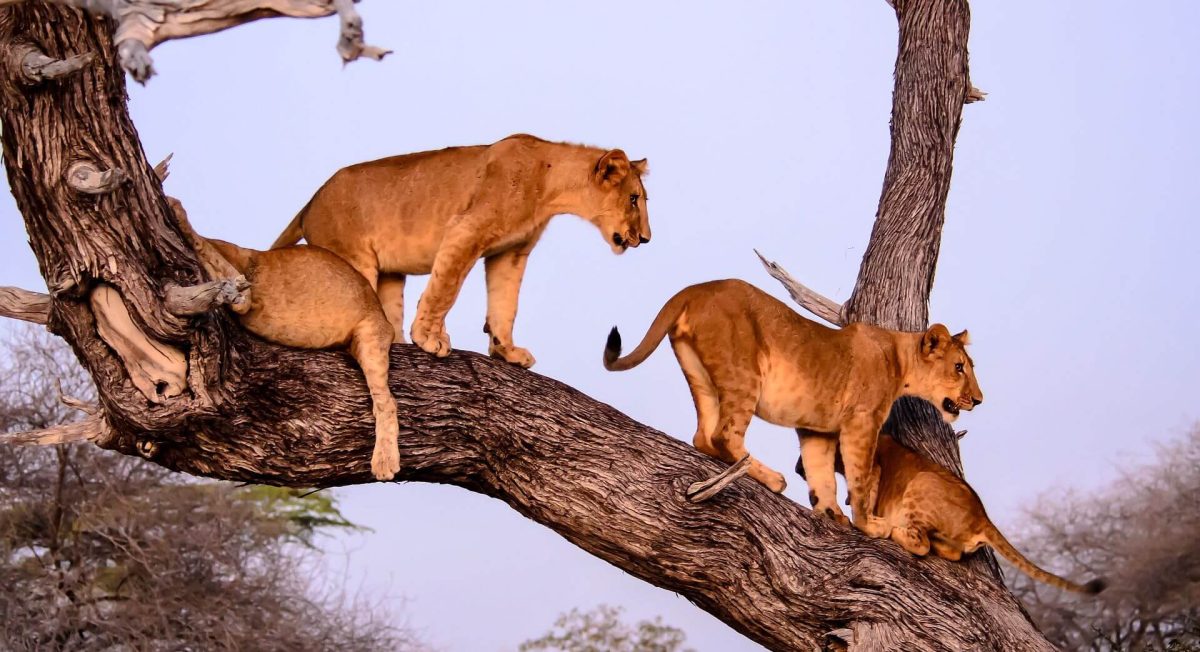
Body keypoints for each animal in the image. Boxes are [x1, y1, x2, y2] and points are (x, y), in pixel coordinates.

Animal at [166, 198, 401, 482]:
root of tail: (381, 312)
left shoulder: (244, 283)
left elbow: (203, 246)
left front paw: (175, 206)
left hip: (370, 336)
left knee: (387, 402)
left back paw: (385, 460)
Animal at [271, 133, 651, 368]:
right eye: (634, 199)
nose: (646, 238)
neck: (550, 185)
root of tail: (309, 203)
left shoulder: (510, 253)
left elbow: (505, 305)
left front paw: (506, 351)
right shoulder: (465, 230)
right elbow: (445, 289)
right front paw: (429, 338)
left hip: (389, 275)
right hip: (352, 258)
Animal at [602, 279, 982, 535]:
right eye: (959, 367)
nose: (978, 400)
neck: (900, 360)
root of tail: (696, 288)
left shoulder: (818, 428)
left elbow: (821, 473)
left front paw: (831, 514)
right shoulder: (861, 422)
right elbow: (859, 477)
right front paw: (868, 525)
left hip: (700, 376)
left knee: (703, 437)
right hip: (743, 373)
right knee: (725, 435)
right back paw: (772, 479)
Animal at [797, 434, 1106, 594]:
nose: (799, 469)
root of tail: (983, 516)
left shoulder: (873, 468)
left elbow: (863, 500)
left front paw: (859, 521)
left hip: (922, 482)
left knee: (920, 544)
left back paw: (892, 529)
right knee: (948, 551)